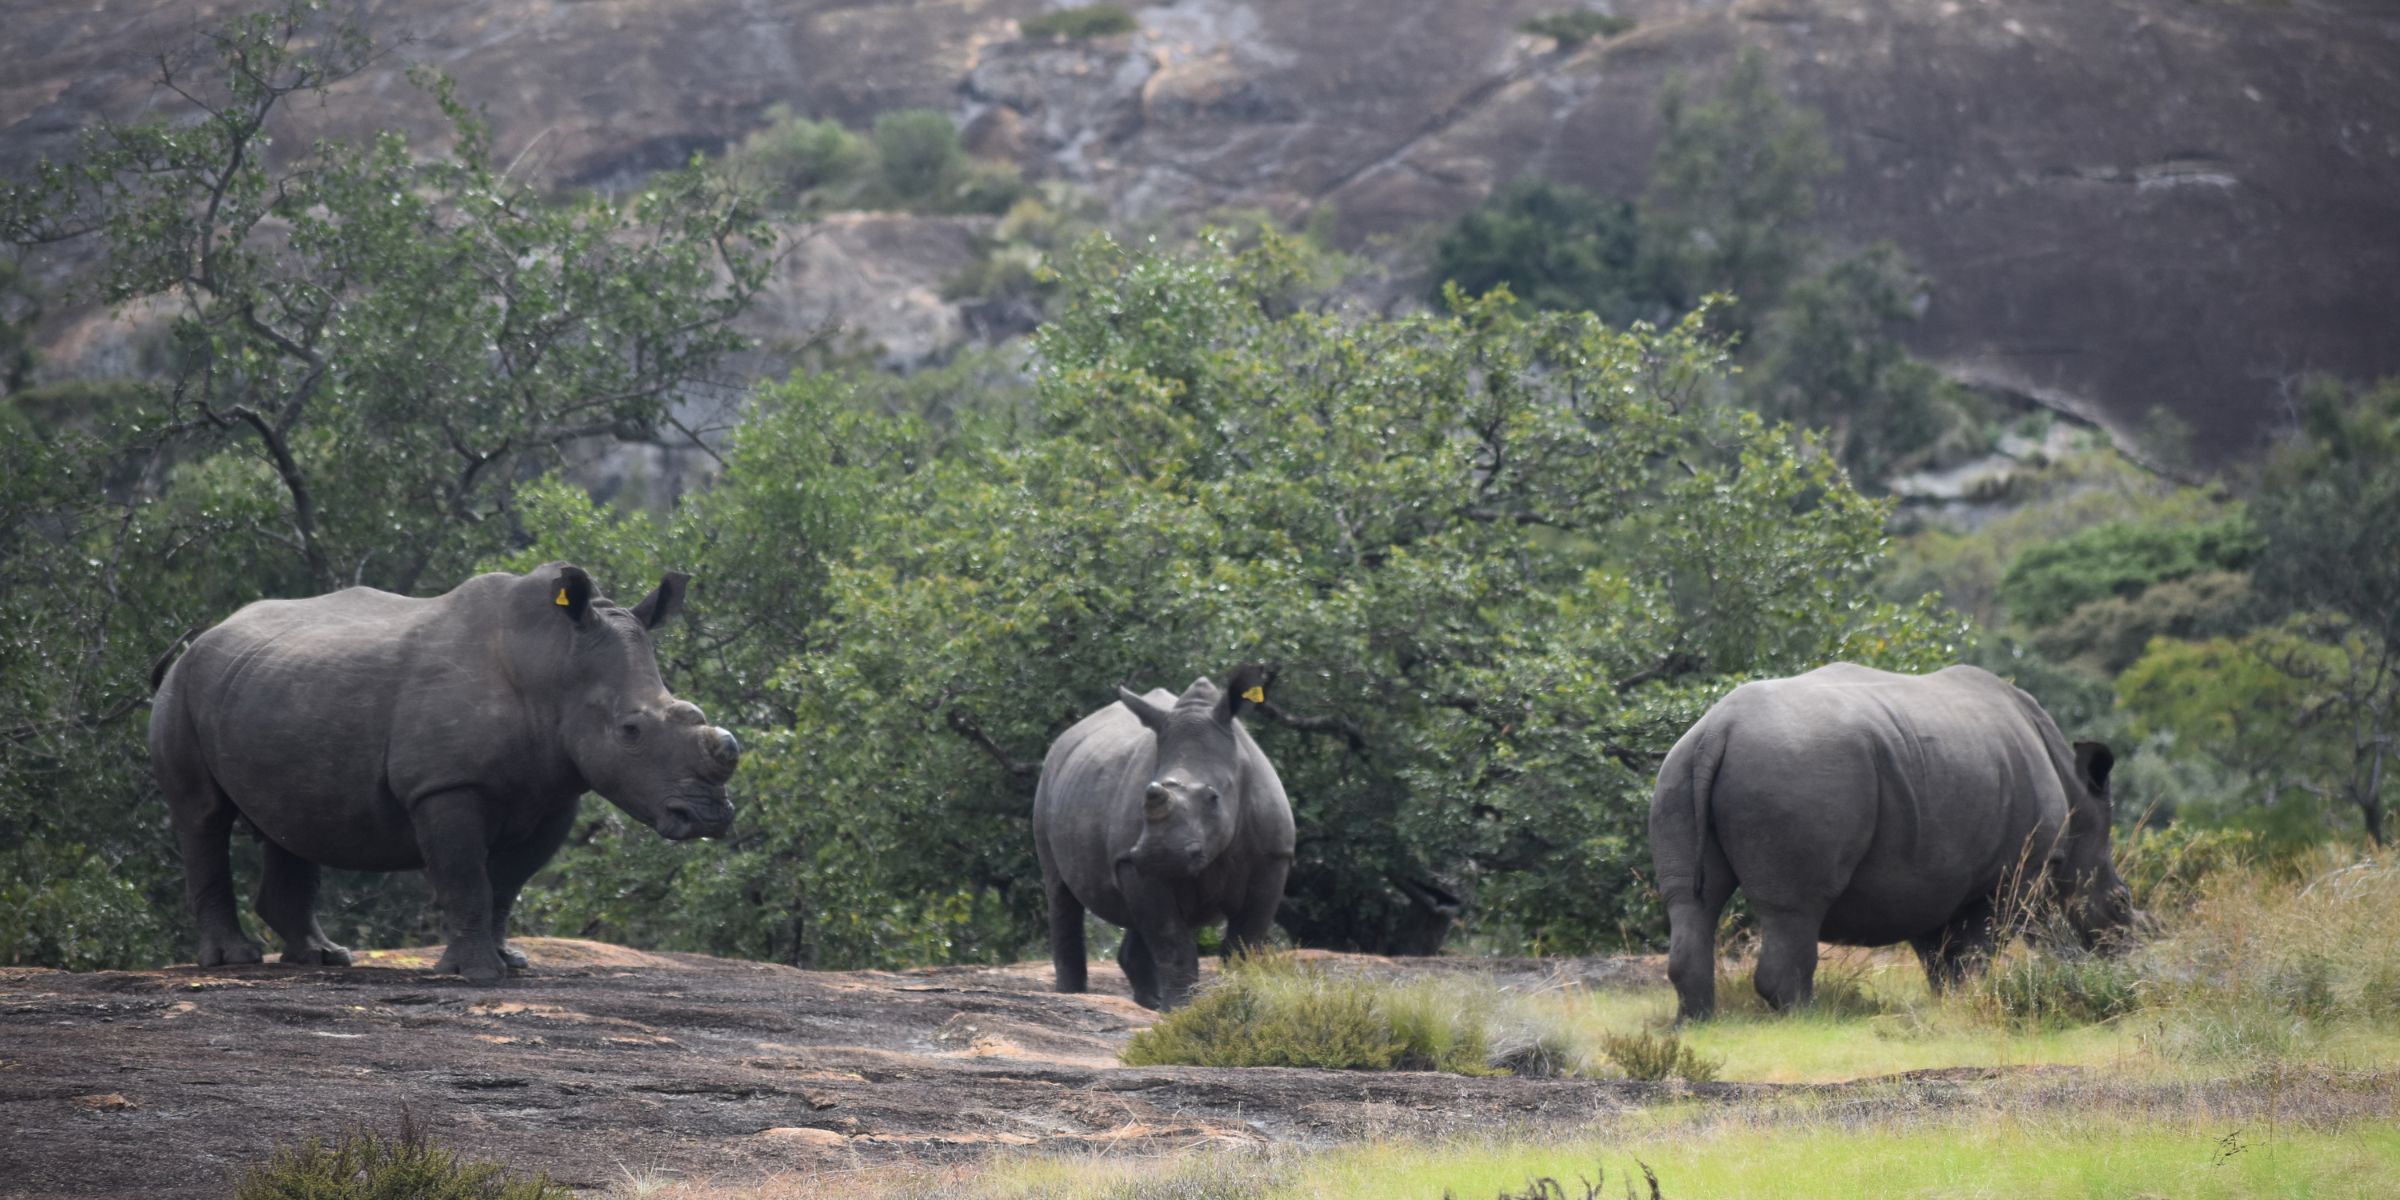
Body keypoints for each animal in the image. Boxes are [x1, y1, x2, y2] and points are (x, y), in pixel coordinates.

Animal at [148, 564, 740, 982]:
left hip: (269, 688)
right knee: (202, 815)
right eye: (630, 730)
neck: (553, 663)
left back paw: (324, 958)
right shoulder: (445, 785)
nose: (709, 817)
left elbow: (506, 883)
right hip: (184, 688)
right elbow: (466, 876)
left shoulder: (554, 793)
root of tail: (202, 636)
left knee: (287, 821)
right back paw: (233, 961)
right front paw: (476, 974)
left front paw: (510, 962)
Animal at [1033, 666, 1295, 1009]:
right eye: (1148, 794)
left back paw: (1148, 1003)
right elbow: (1170, 939)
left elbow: (1244, 942)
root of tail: (1064, 740)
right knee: (1060, 891)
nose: (1158, 853)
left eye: (1213, 797)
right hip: (1047, 782)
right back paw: (1072, 994)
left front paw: (1236, 995)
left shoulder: (1273, 858)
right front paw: (1180, 1008)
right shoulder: (1131, 862)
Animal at [1648, 663, 2132, 1020]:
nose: (2124, 954)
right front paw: (1974, 996)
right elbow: (1980, 943)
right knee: (1795, 908)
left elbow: (1937, 948)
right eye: (2121, 902)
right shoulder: (2017, 871)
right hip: (1796, 770)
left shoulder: (1928, 875)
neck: (2076, 796)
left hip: (1679, 768)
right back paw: (1808, 1018)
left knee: (1691, 900)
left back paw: (1696, 1022)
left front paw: (1950, 999)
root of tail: (1718, 730)